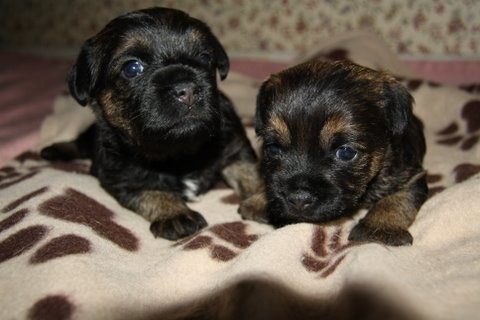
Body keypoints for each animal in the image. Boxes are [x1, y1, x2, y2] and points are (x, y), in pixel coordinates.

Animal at [40, 6, 258, 240]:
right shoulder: (119, 175)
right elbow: (151, 191)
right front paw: (175, 213)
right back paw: (54, 150)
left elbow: (251, 172)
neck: (179, 151)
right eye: (132, 68)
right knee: (80, 142)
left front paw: (262, 200)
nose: (188, 90)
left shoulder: (235, 147)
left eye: (205, 58)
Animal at [242, 58, 430, 246]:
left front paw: (381, 227)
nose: (299, 199)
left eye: (345, 152)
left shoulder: (412, 177)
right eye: (273, 148)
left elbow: (398, 199)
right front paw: (259, 200)